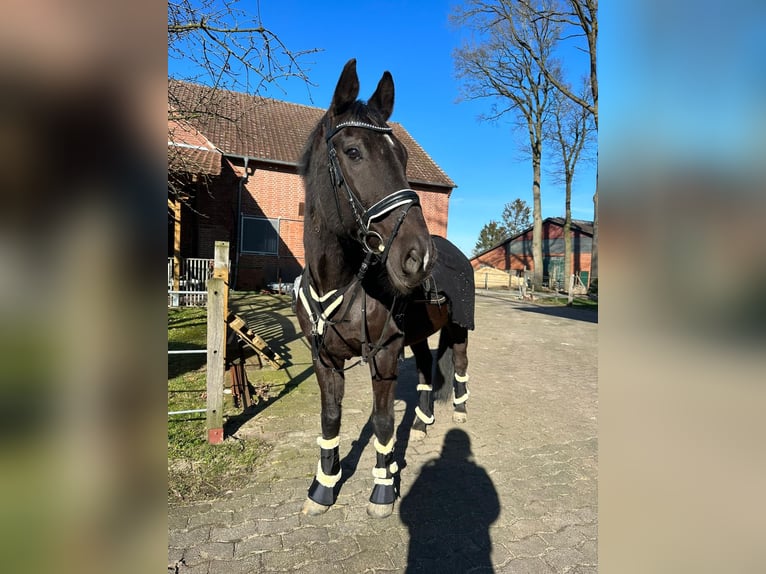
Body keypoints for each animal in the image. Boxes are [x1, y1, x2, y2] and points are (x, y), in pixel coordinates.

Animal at [296, 59, 472, 520]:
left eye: (403, 155)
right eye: (353, 152)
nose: (417, 257)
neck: (340, 283)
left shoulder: (385, 354)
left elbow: (382, 421)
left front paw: (382, 489)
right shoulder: (325, 360)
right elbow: (331, 419)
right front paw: (323, 487)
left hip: (459, 330)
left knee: (459, 365)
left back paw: (461, 411)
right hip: (419, 335)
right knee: (428, 369)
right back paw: (425, 423)